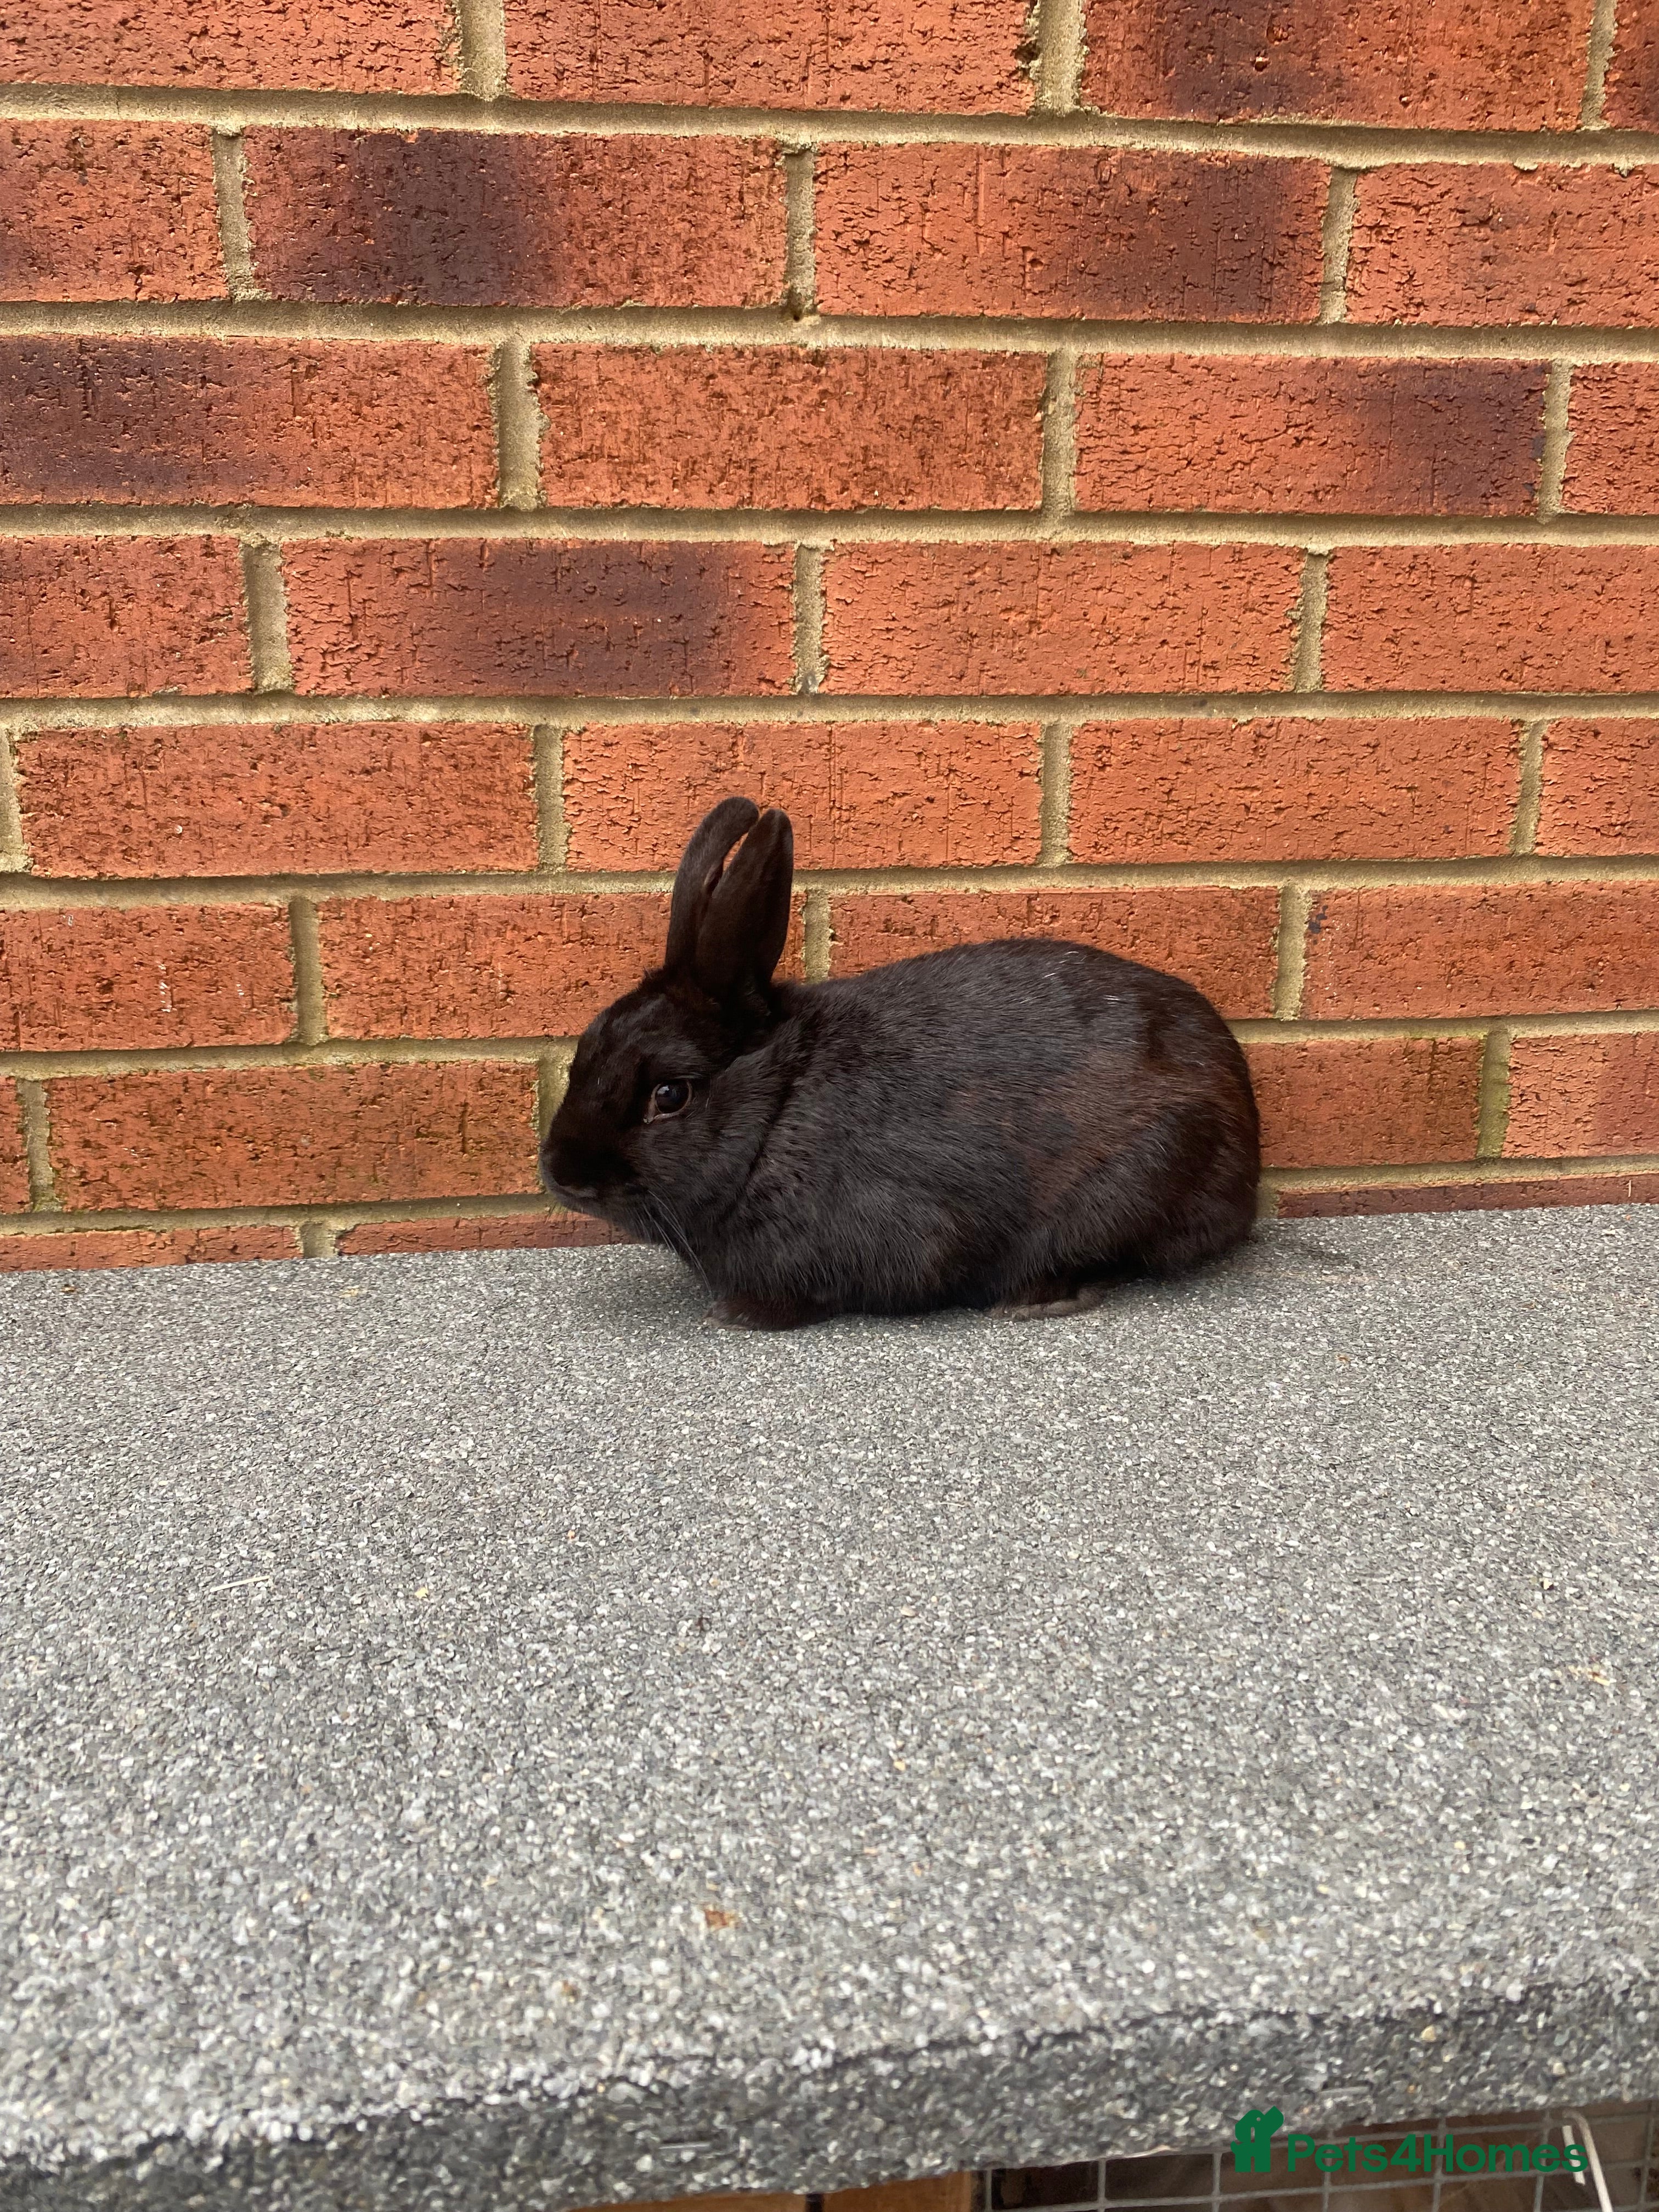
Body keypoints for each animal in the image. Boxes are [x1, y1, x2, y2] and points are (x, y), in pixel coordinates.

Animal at [539, 796, 1260, 1329]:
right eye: (585, 1052)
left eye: (670, 1095)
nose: (562, 1174)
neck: (779, 1109)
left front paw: (740, 1313)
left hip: (1148, 1171)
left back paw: (1035, 1300)